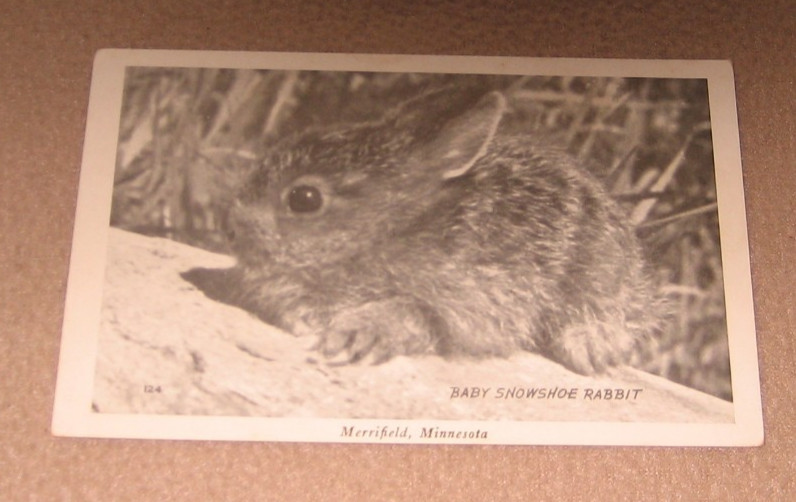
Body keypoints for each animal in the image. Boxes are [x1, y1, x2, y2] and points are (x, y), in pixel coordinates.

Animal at [225, 86, 659, 375]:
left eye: (305, 198)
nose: (232, 225)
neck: (390, 228)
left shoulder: (470, 299)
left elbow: (413, 315)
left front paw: (357, 336)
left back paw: (588, 347)